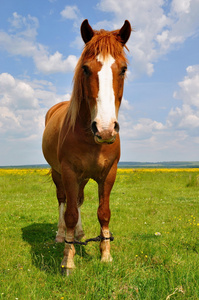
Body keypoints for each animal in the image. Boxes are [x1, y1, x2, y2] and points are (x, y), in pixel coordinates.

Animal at [41, 18, 131, 272]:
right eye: (85, 68)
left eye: (123, 69)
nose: (105, 129)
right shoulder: (69, 172)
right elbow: (70, 212)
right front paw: (68, 260)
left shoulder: (109, 173)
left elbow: (104, 213)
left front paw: (106, 254)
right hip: (58, 173)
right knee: (63, 201)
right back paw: (62, 235)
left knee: (79, 200)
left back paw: (79, 234)